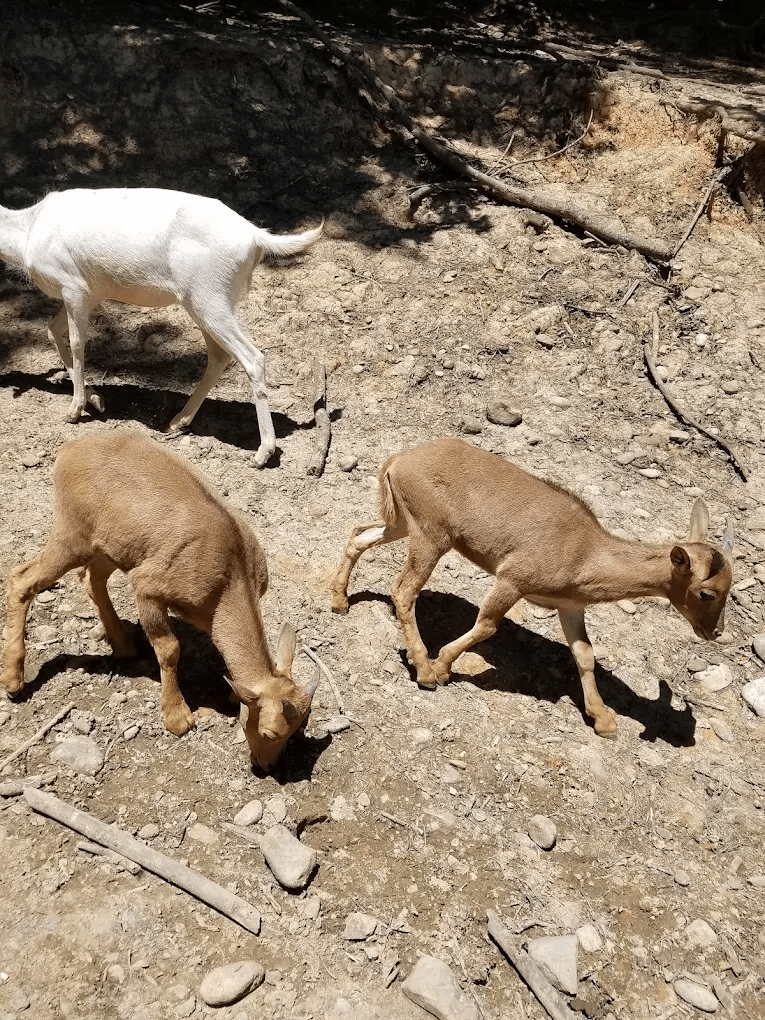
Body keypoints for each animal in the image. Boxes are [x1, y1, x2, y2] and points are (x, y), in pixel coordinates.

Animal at [0, 188, 322, 467]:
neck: (27, 231)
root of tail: (256, 237)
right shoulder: (92, 293)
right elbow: (52, 330)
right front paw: (96, 399)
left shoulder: (73, 286)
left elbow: (78, 343)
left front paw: (75, 409)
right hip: (205, 301)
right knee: (220, 356)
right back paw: (178, 420)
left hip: (209, 296)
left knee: (253, 357)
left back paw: (263, 453)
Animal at [0, 431, 318, 770]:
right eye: (270, 733)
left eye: (298, 727)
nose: (267, 766)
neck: (232, 572)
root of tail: (70, 450)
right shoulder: (149, 588)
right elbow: (169, 649)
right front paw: (177, 717)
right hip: (73, 535)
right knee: (22, 579)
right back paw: (13, 680)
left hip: (113, 545)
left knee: (92, 580)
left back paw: (123, 645)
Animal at [331, 437, 734, 737]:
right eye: (707, 592)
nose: (713, 632)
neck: (586, 553)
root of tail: (399, 461)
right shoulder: (513, 579)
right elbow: (487, 626)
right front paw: (443, 667)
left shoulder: (570, 607)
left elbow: (584, 654)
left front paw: (603, 719)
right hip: (432, 535)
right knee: (403, 589)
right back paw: (424, 670)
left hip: (403, 522)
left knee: (359, 535)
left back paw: (339, 599)